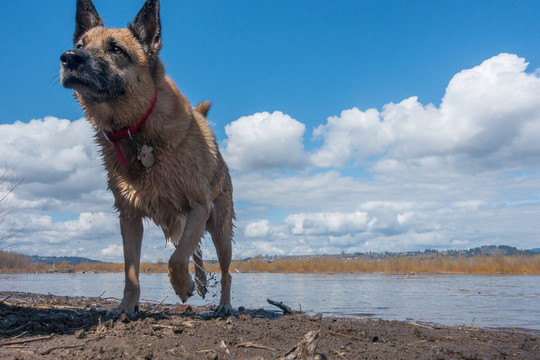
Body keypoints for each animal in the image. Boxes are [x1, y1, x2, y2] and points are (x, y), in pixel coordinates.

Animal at [61, 0, 234, 316]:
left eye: (117, 49)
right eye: (80, 45)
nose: (68, 57)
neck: (135, 128)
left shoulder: (199, 205)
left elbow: (176, 259)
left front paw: (183, 286)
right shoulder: (128, 217)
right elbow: (131, 270)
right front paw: (126, 307)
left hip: (219, 227)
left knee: (224, 269)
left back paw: (223, 304)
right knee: (195, 252)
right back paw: (201, 282)